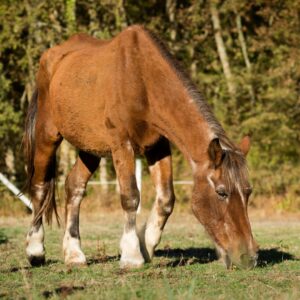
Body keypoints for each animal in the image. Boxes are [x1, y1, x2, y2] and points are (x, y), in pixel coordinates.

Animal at [24, 25, 258, 270]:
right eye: (221, 192)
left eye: (248, 191)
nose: (249, 257)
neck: (141, 79)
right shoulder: (122, 145)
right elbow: (130, 197)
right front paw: (131, 255)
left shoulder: (158, 146)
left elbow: (166, 199)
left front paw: (146, 246)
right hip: (47, 134)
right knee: (40, 187)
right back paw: (35, 250)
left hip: (89, 148)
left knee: (74, 187)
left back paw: (74, 254)